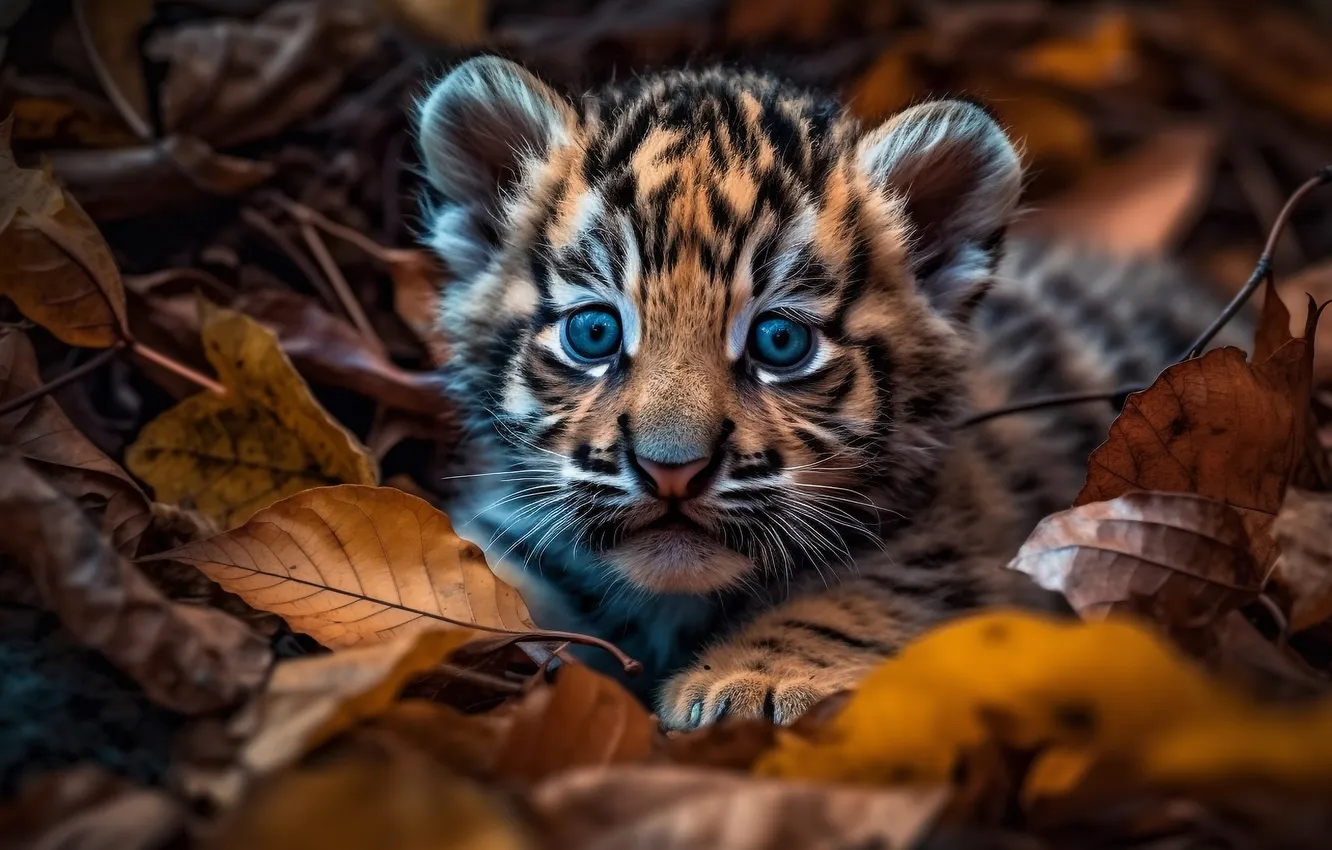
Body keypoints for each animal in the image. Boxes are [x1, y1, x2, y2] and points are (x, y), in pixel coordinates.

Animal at [413, 56, 1246, 729]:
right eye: (593, 332)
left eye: (781, 342)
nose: (671, 469)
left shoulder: (952, 543)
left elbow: (860, 597)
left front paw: (753, 678)